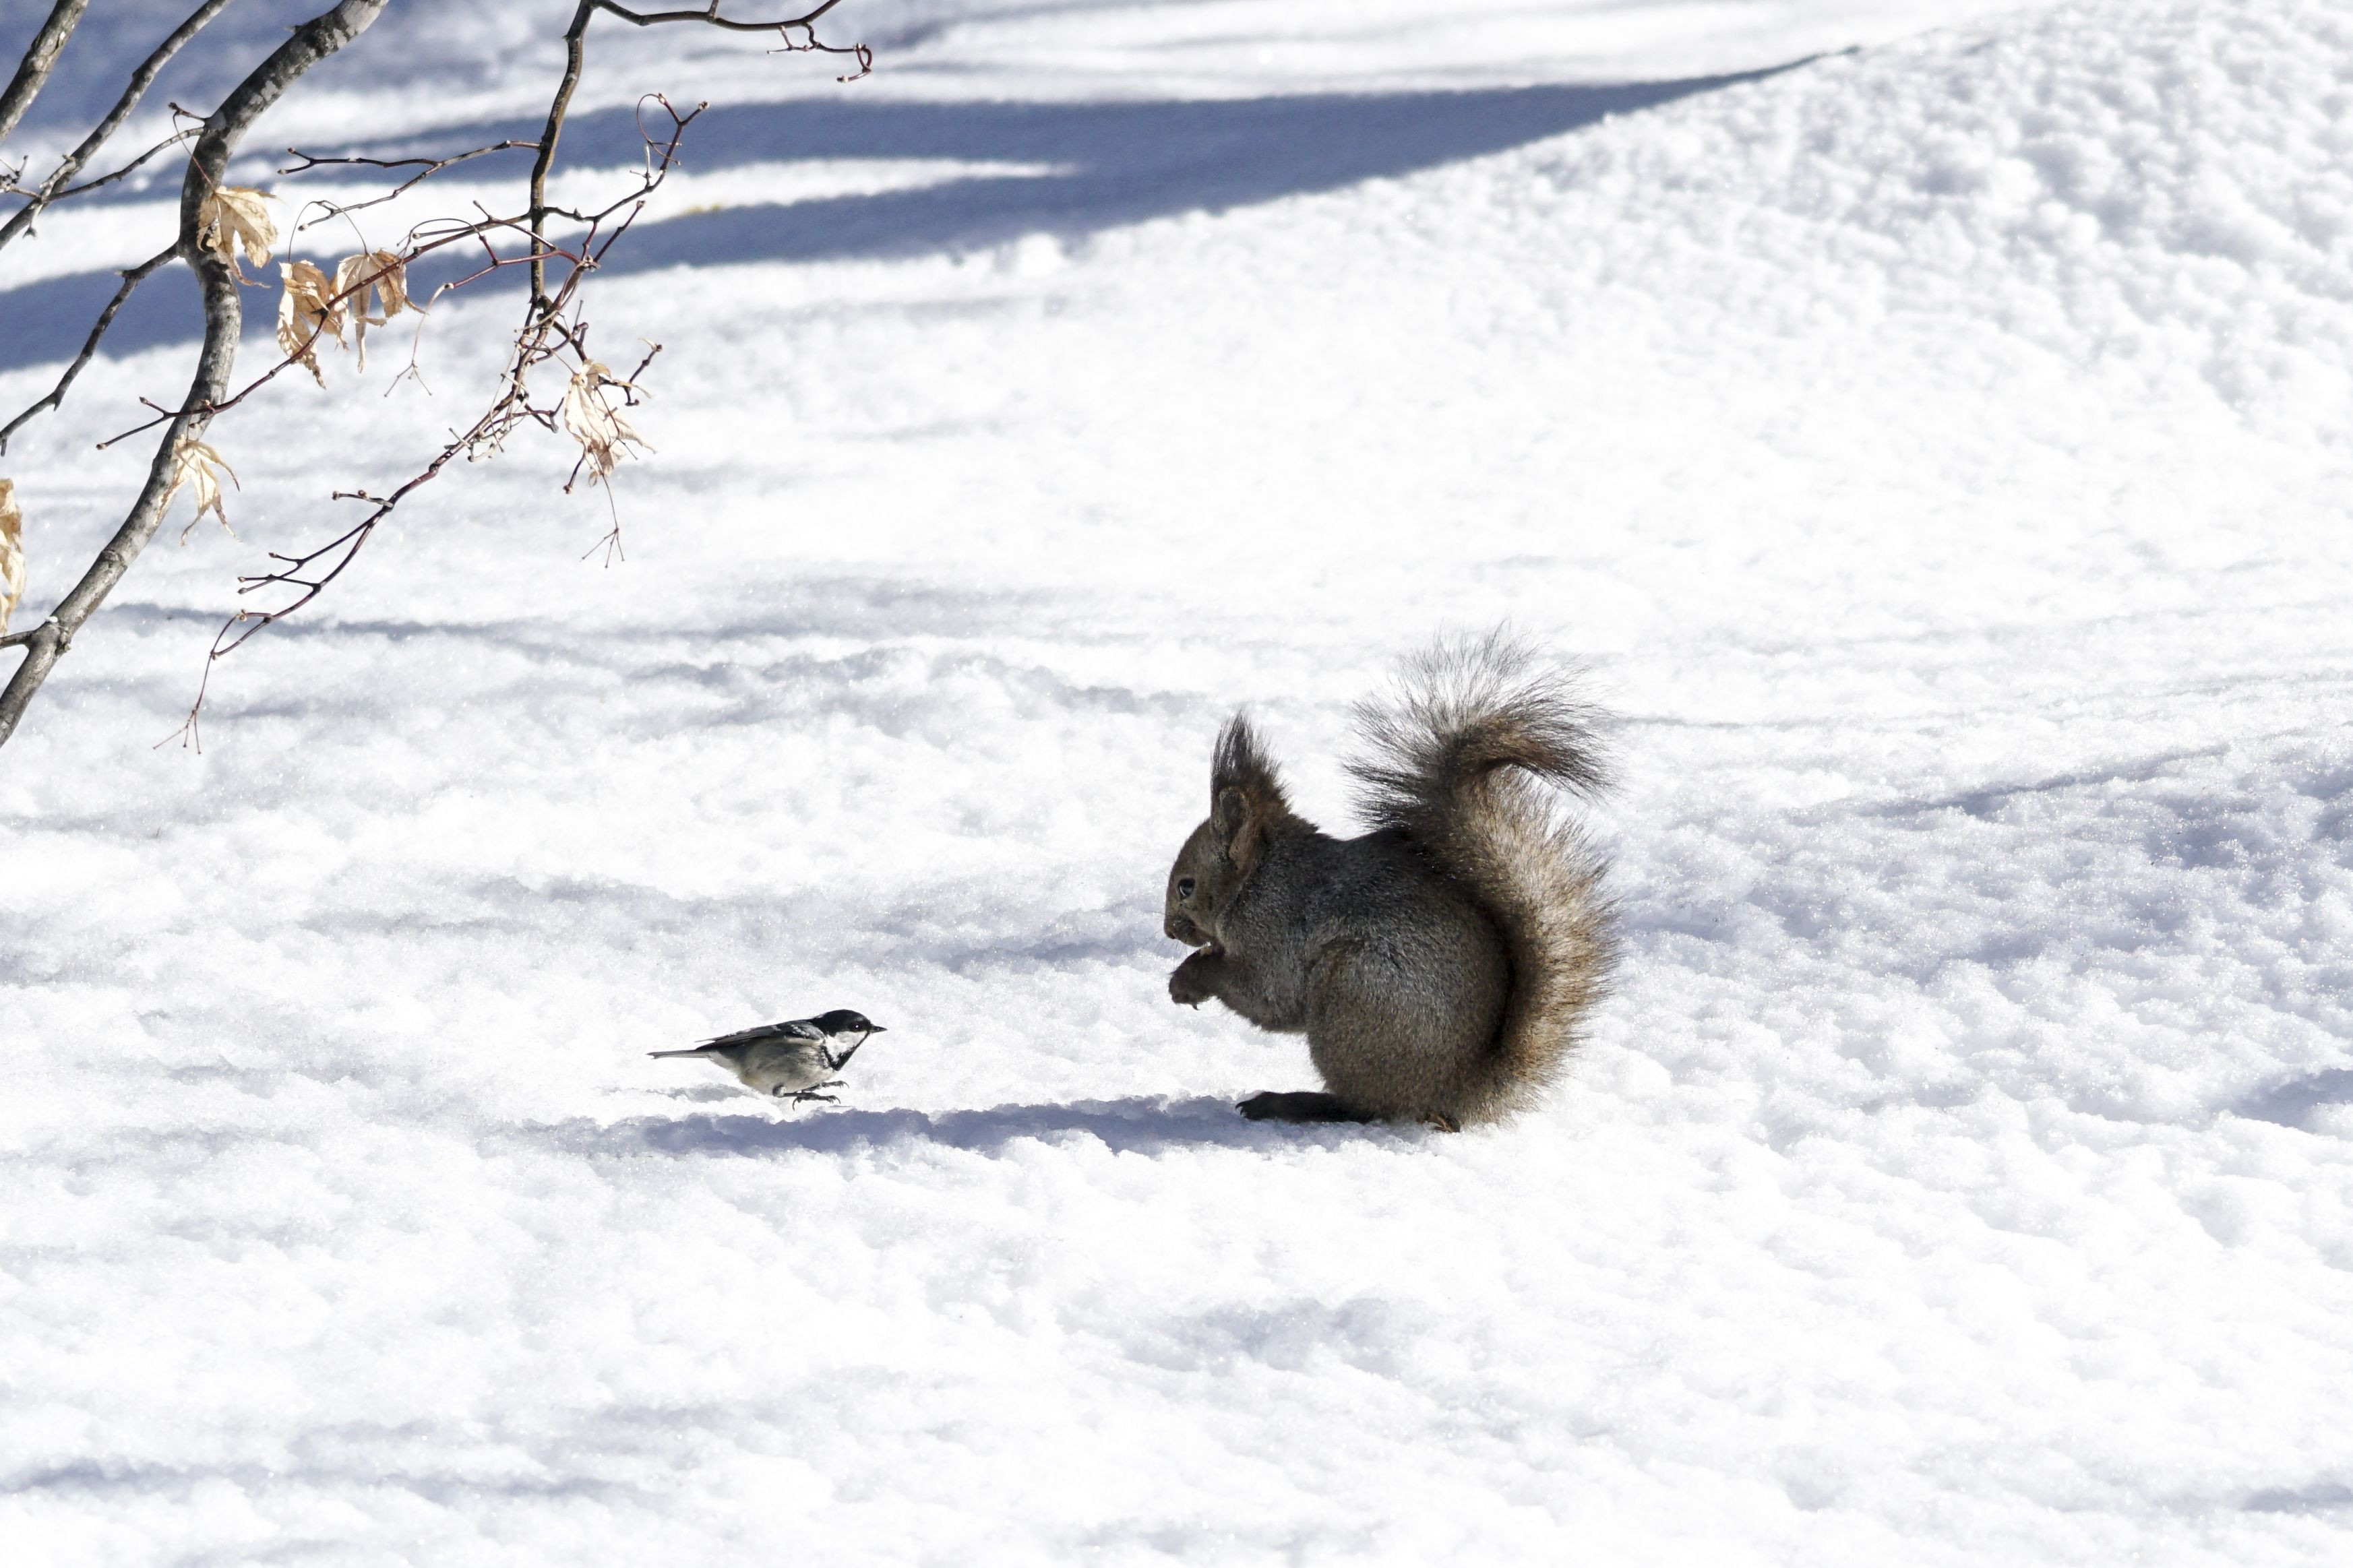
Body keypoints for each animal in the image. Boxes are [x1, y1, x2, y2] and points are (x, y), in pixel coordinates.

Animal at [1161, 633, 1615, 1130]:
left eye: (1186, 886)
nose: (1169, 931)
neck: (1258, 880)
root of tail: (1455, 1091)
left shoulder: (1274, 931)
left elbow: (1266, 993)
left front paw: (1190, 977)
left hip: (1353, 994)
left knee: (1368, 1107)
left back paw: (1292, 1103)